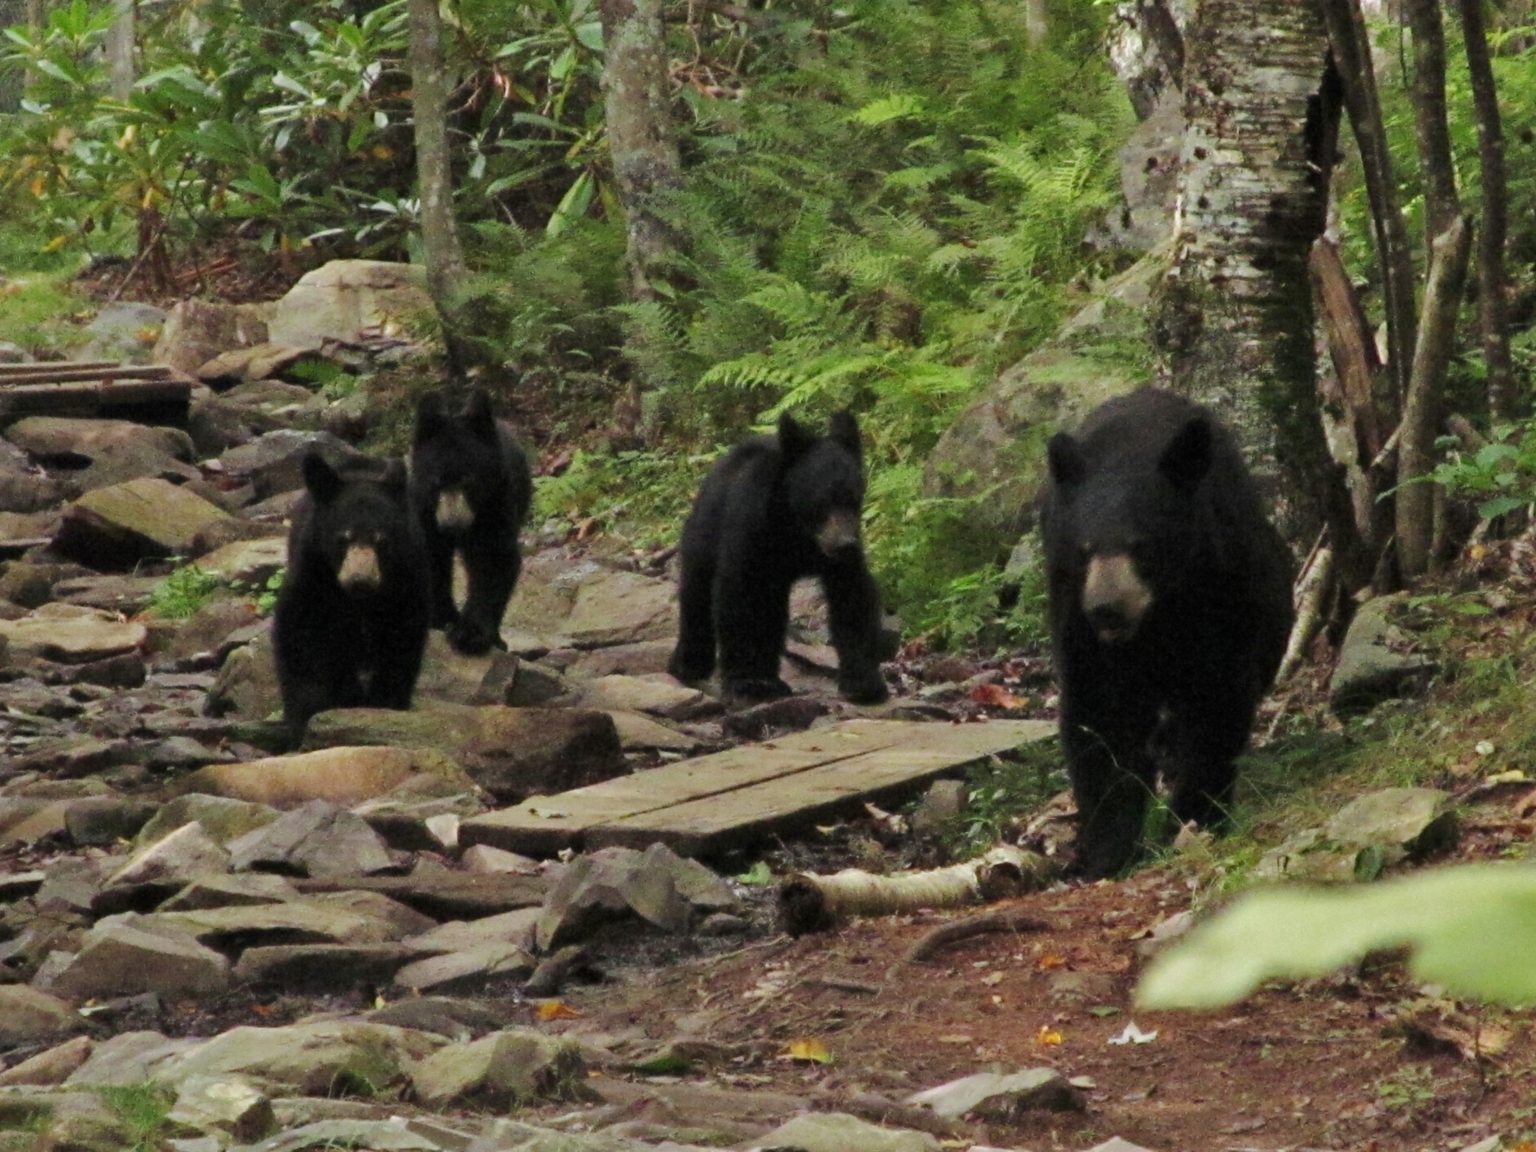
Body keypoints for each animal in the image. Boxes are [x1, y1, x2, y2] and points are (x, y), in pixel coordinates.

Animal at [273, 451, 433, 740]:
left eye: (382, 540)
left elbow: (400, 644)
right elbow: (299, 635)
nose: (360, 580)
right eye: (342, 538)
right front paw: (306, 716)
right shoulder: (313, 574)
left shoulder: (406, 584)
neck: (361, 602)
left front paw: (385, 704)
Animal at [408, 390, 534, 654]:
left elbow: (492, 558)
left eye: (469, 481)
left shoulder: (495, 502)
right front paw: (441, 618)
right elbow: (430, 556)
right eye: (436, 483)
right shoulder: (423, 507)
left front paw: (470, 634)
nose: (452, 524)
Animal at [669, 411, 890, 709]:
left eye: (854, 498)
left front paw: (864, 683)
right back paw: (689, 664)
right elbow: (742, 596)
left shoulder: (840, 557)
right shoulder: (752, 530)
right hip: (705, 531)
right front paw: (748, 683)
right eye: (822, 500)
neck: (796, 531)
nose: (845, 543)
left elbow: (852, 597)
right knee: (698, 592)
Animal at [1044, 393, 1296, 878]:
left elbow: (1216, 696)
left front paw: (1193, 817)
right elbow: (1101, 712)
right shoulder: (1076, 615)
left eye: (1140, 544)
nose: (1105, 607)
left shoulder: (1218, 587)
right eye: (1085, 549)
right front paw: (1108, 848)